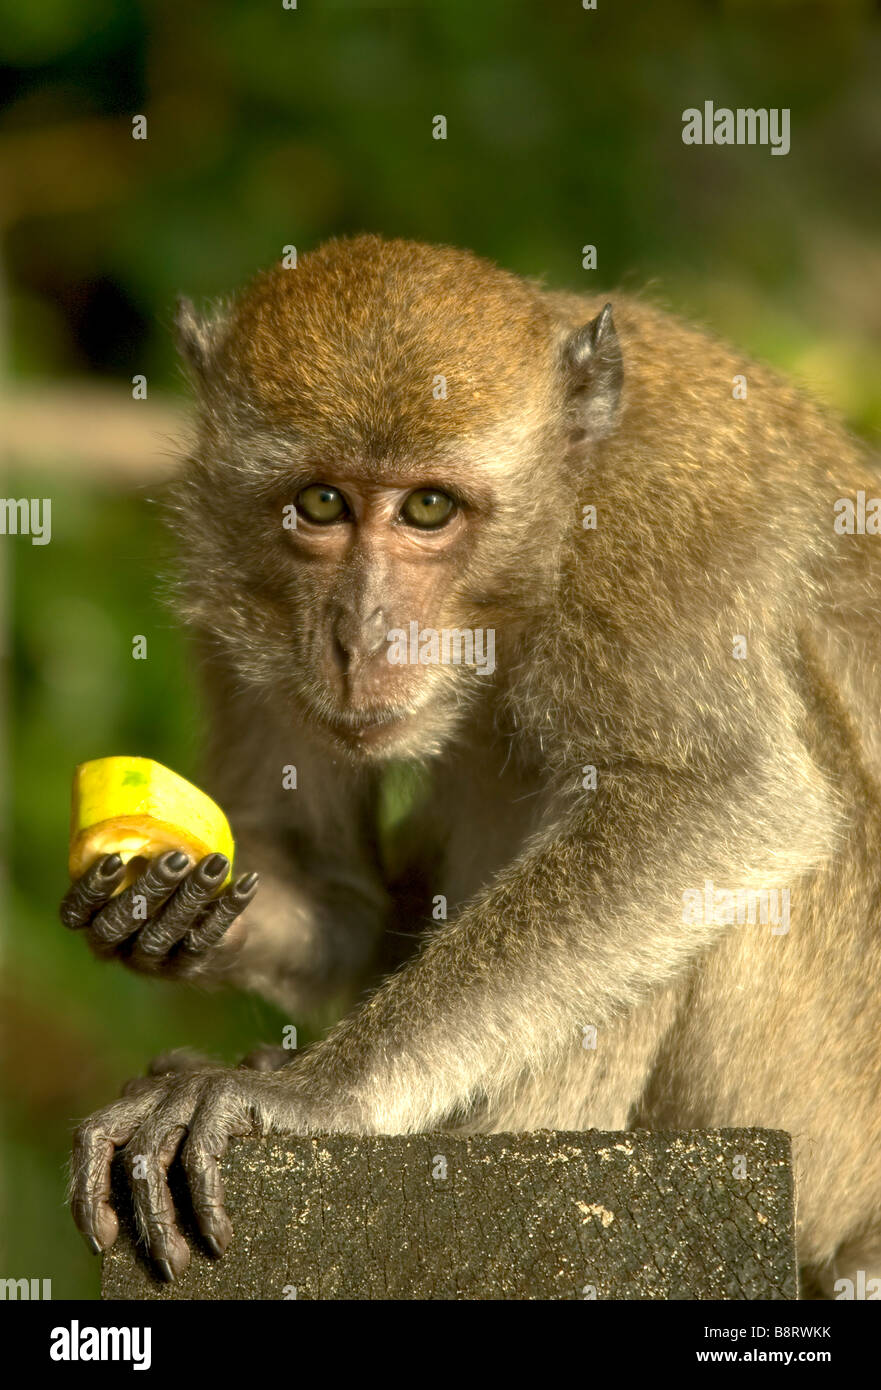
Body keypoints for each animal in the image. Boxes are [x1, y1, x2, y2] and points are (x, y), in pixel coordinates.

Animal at [63, 236, 878, 1289]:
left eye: (428, 508)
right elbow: (334, 897)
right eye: (320, 503)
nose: (361, 637)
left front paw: (318, 1096)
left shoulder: (665, 526)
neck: (562, 498)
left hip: (828, 1118)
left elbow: (721, 800)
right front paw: (174, 909)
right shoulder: (229, 579)